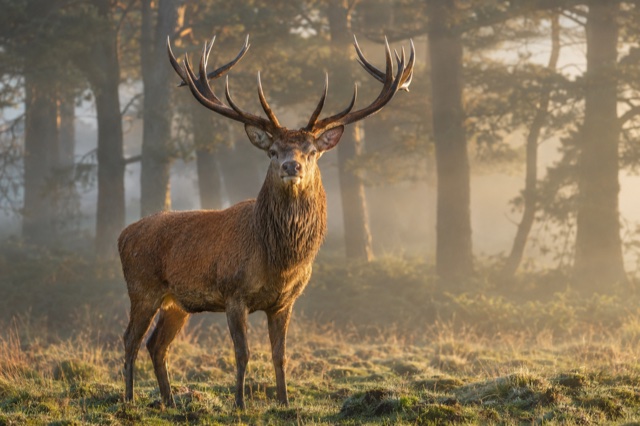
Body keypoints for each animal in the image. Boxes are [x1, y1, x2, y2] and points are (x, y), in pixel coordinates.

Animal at [118, 34, 414, 409]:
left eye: (312, 151)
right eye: (273, 151)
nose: (291, 165)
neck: (279, 260)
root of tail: (122, 235)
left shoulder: (286, 301)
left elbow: (280, 355)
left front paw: (284, 401)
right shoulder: (233, 293)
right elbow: (242, 353)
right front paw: (240, 403)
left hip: (177, 303)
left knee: (156, 344)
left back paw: (169, 402)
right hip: (142, 286)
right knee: (130, 339)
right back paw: (128, 399)